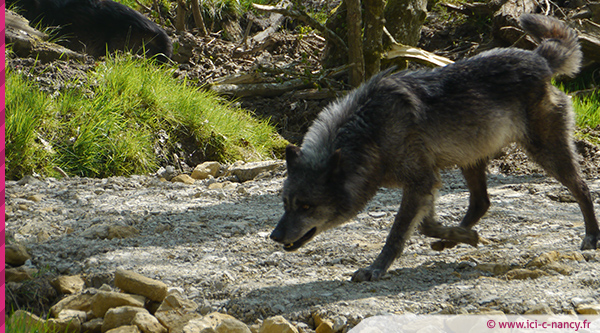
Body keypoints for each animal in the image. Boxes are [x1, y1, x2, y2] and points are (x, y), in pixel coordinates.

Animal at [270, 14, 596, 282]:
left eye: (307, 206)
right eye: (286, 203)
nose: (274, 236)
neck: (371, 133)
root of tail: (540, 59)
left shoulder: (421, 181)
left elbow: (399, 231)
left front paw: (376, 269)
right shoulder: (426, 182)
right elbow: (425, 225)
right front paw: (463, 236)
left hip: (544, 152)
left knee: (581, 187)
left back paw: (592, 237)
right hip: (471, 159)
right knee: (481, 202)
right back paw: (454, 238)